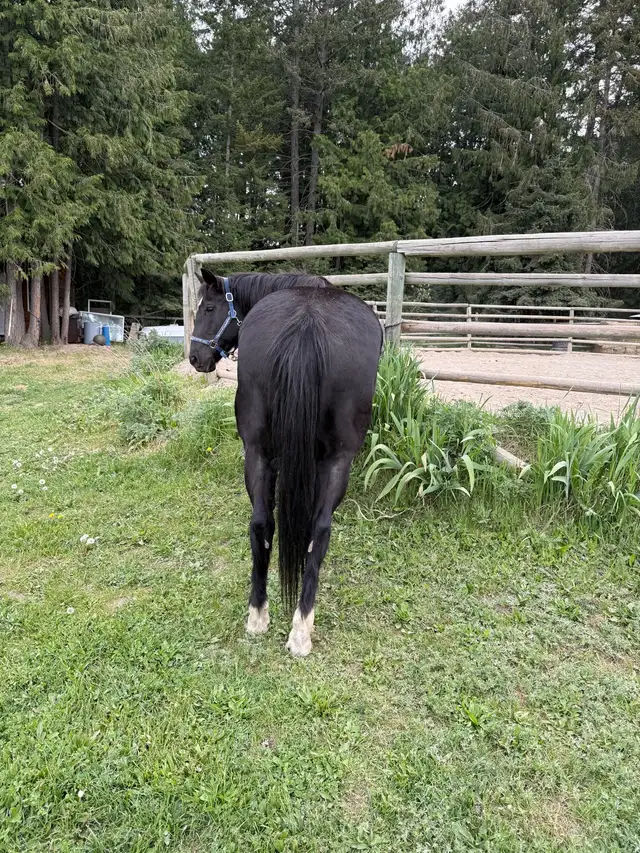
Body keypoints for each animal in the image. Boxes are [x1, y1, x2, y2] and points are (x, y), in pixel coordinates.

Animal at [189, 270, 383, 656]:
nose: (194, 357)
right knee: (320, 531)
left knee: (261, 523)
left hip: (258, 452)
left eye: (209, 308)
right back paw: (301, 628)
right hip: (338, 460)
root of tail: (307, 323)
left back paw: (258, 615)